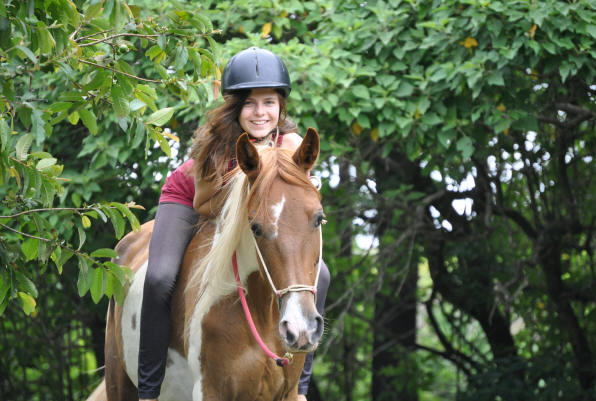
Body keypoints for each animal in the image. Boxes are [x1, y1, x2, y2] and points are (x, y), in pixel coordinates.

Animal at [86, 128, 324, 400]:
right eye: (255, 227)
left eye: (319, 218)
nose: (300, 328)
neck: (261, 314)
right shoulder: (210, 390)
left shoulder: (287, 392)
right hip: (119, 381)